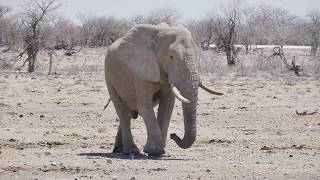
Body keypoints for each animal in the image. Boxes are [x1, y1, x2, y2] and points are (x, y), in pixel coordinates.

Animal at [105, 23, 222, 156]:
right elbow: (144, 106)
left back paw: (119, 149)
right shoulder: (140, 72)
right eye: (171, 57)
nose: (173, 135)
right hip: (109, 77)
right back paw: (131, 151)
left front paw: (159, 151)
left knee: (128, 114)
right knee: (123, 114)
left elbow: (167, 106)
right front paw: (154, 151)